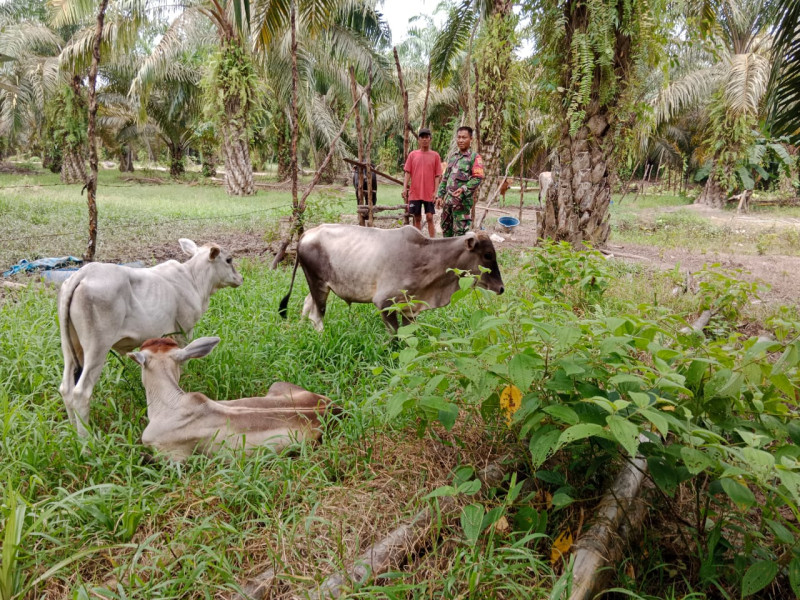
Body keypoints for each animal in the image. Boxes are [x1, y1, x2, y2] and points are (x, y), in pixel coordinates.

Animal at [59, 239, 242, 436]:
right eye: (229, 259)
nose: (240, 278)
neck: (193, 279)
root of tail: (83, 274)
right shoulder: (184, 330)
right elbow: (184, 361)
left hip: (70, 348)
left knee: (66, 388)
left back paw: (73, 431)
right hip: (97, 347)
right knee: (81, 392)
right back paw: (86, 438)